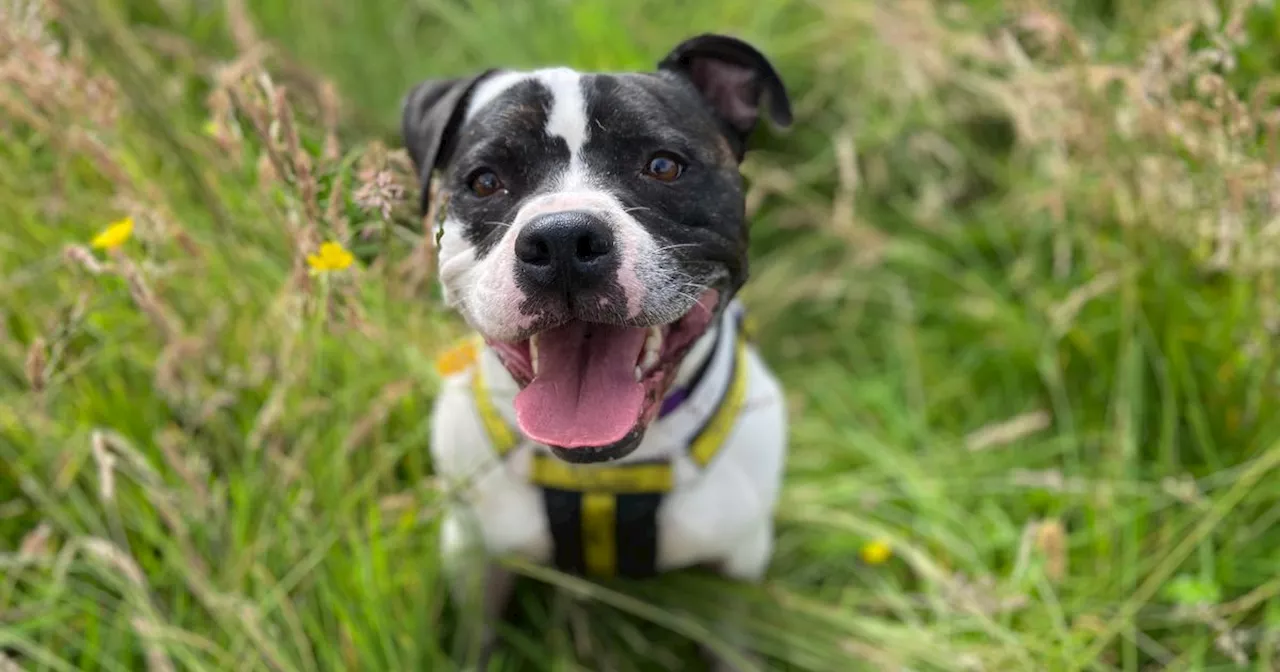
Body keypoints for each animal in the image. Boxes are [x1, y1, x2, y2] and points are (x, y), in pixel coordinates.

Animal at [401, 34, 788, 665]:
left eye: (663, 165)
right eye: (484, 181)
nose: (562, 239)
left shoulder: (738, 563)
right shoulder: (473, 552)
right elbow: (475, 638)